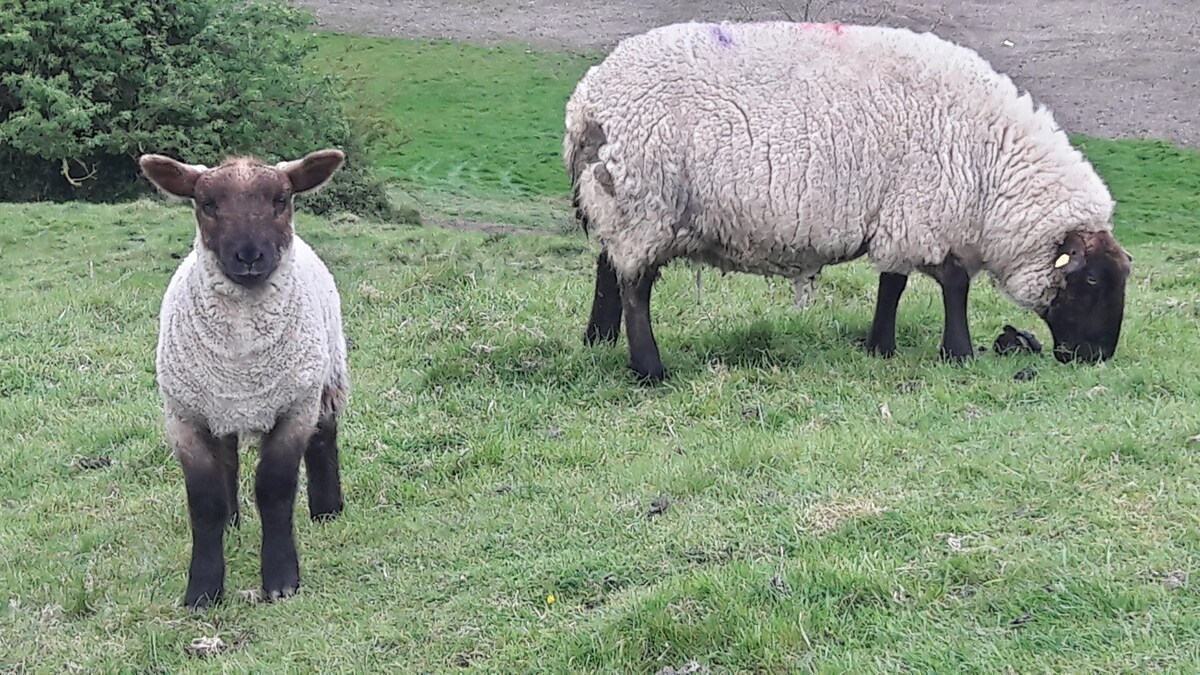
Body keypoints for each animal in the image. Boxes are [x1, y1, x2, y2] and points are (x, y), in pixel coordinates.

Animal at [139, 148, 350, 610]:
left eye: (281, 200)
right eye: (206, 204)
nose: (249, 256)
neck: (242, 357)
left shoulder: (294, 408)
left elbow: (274, 490)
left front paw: (282, 581)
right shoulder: (185, 417)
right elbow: (205, 501)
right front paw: (203, 590)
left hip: (327, 373)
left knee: (324, 436)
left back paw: (328, 510)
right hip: (220, 408)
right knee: (229, 462)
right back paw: (233, 521)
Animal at [566, 19, 1128, 384]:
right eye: (1091, 280)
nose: (1097, 357)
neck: (992, 165)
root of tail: (586, 102)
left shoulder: (899, 216)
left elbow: (893, 283)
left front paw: (880, 346)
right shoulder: (924, 210)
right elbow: (954, 284)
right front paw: (959, 352)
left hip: (616, 201)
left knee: (608, 267)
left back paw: (599, 338)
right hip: (645, 204)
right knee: (636, 286)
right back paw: (649, 369)